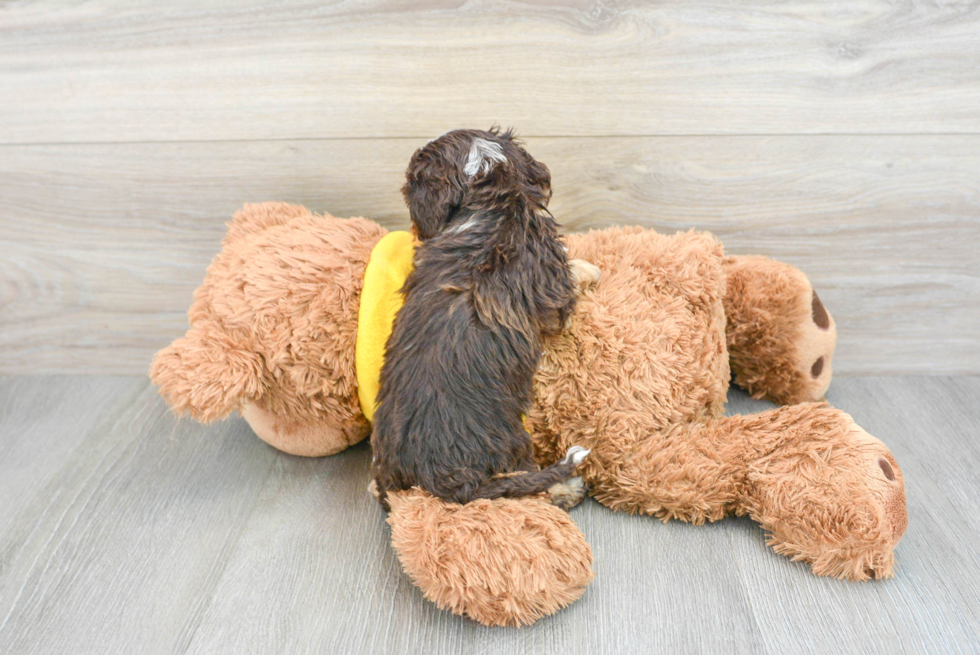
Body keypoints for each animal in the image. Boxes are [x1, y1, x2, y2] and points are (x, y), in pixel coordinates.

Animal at [370, 127, 596, 508]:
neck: (491, 202)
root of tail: (435, 476)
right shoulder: (553, 292)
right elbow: (570, 280)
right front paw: (590, 268)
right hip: (511, 435)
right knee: (525, 482)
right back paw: (566, 487)